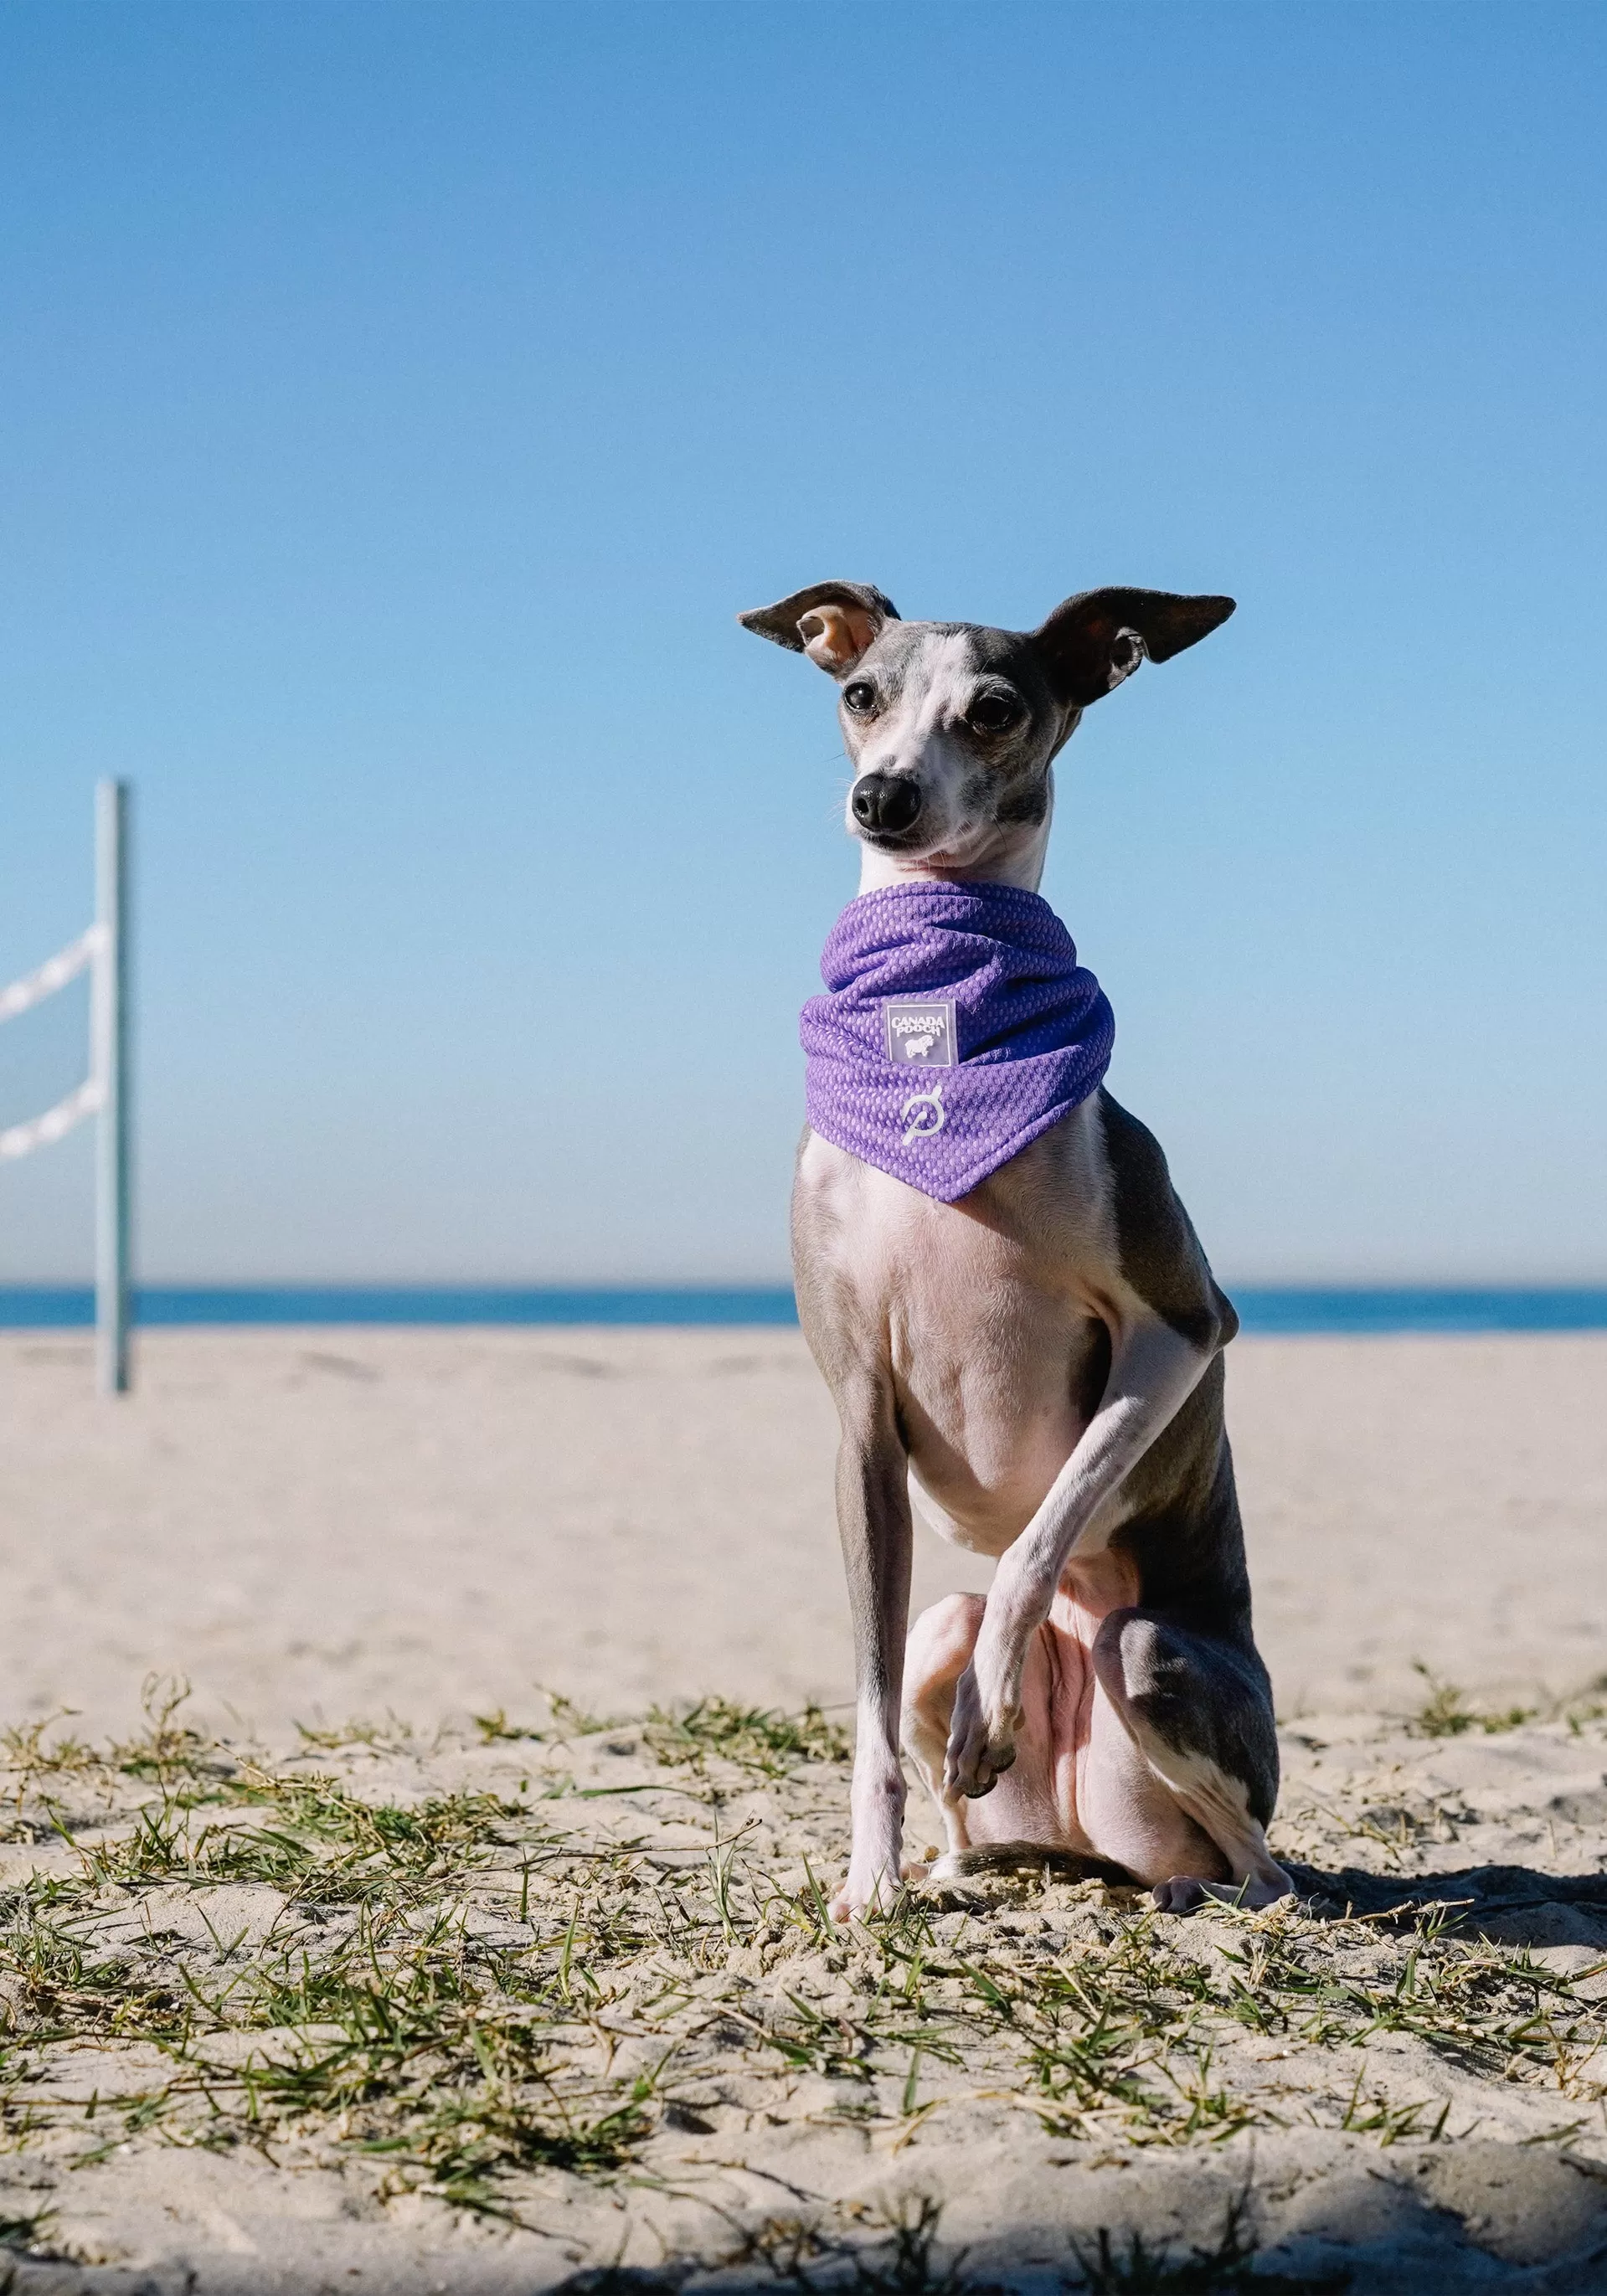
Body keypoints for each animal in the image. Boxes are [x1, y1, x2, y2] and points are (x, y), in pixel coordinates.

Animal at [744, 578, 1295, 1919]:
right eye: (859, 694)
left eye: (994, 710)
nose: (882, 799)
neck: (936, 1037)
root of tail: (1097, 1844)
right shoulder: (858, 1412)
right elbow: (870, 1712)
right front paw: (868, 1885)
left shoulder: (1182, 1326)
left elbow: (1041, 1531)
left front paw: (996, 1691)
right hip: (938, 1642)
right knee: (948, 1705)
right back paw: (953, 1862)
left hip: (1152, 1655)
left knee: (1253, 1851)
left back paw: (1213, 1891)